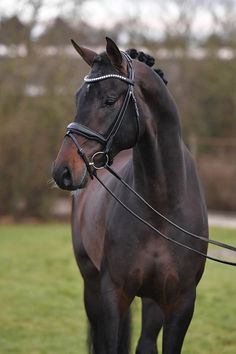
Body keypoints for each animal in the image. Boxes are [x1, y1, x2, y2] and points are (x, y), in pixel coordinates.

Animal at [52, 37, 208, 352]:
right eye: (77, 98)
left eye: (109, 100)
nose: (63, 171)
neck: (162, 209)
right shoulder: (114, 295)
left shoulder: (180, 303)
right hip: (91, 284)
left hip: (153, 300)